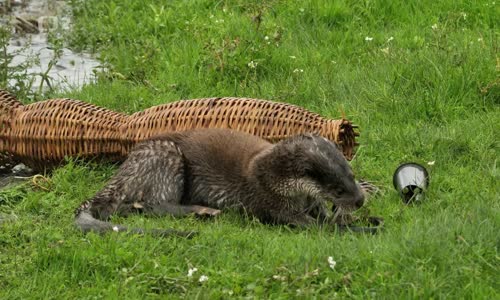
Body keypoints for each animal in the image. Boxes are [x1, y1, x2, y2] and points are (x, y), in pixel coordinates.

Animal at [73, 128, 364, 237]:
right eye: (338, 189)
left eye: (351, 174)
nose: (360, 201)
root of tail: (124, 169)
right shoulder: (271, 200)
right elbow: (307, 223)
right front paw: (345, 226)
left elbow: (321, 212)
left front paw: (341, 217)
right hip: (166, 156)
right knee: (155, 204)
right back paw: (204, 211)